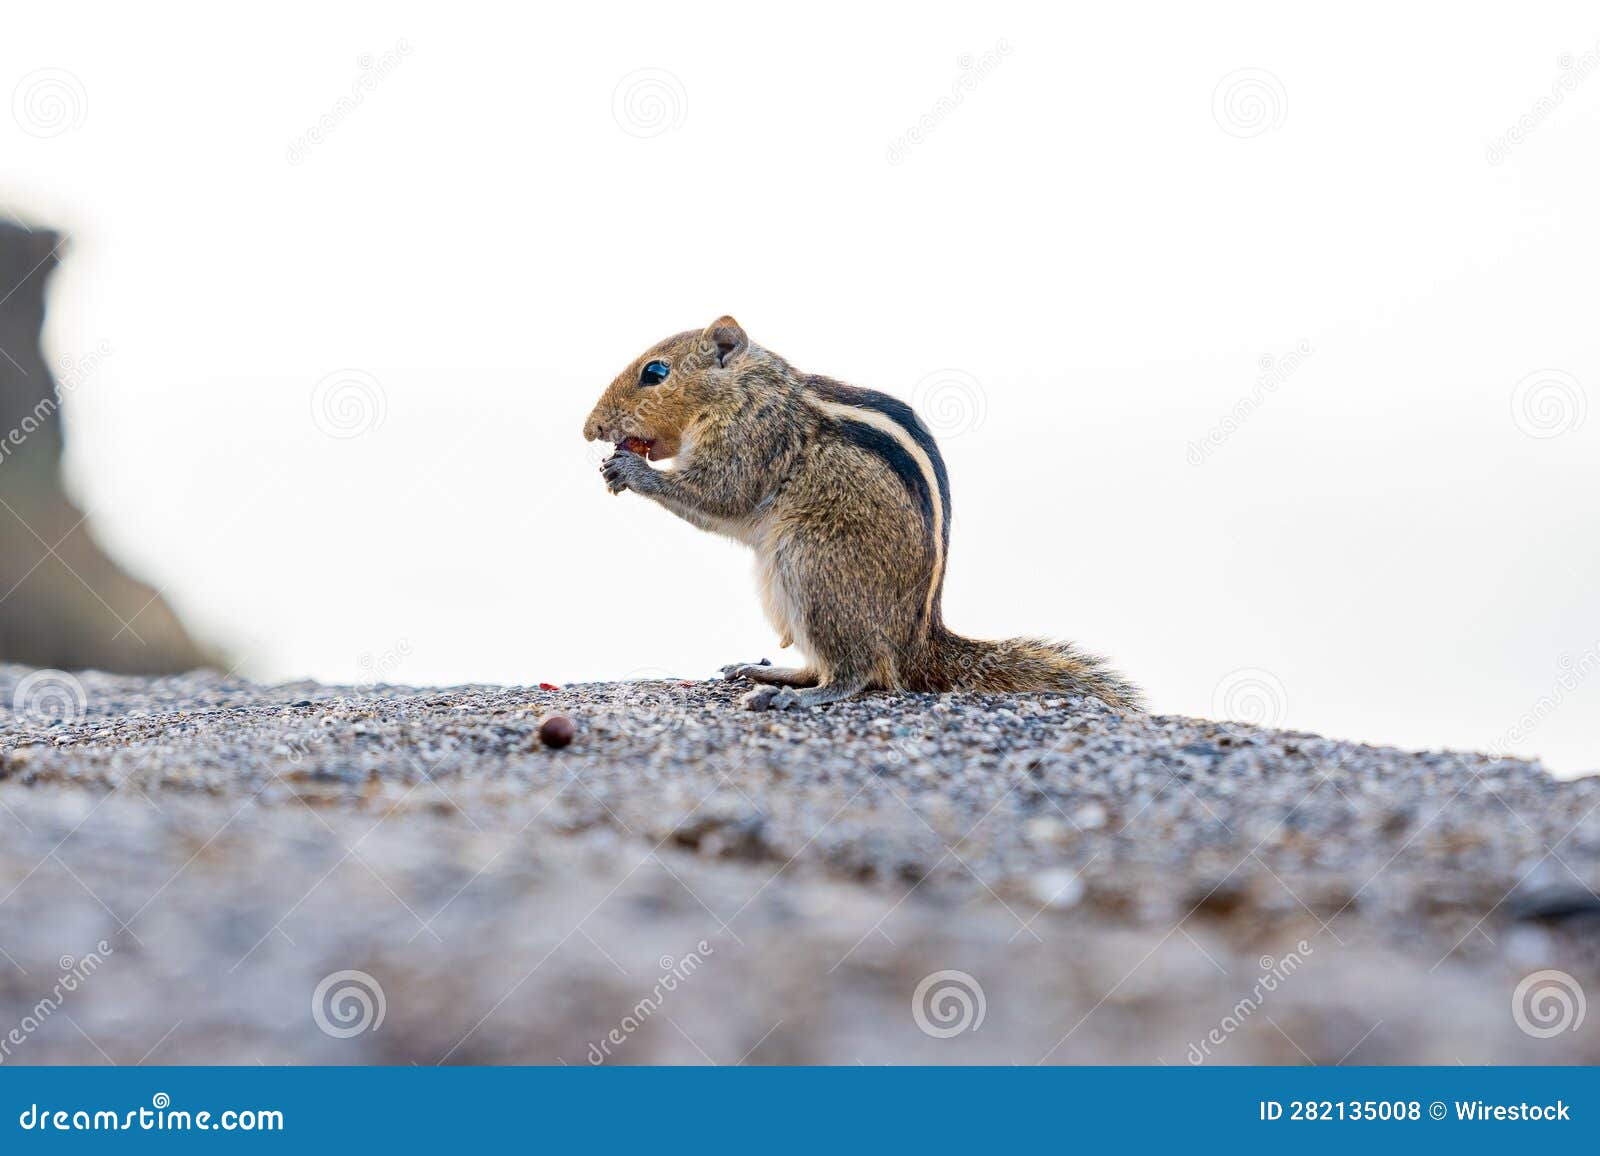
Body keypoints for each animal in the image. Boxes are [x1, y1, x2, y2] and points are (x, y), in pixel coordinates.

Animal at [582, 316, 1142, 713]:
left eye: (655, 373)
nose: (591, 430)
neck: (747, 388)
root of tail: (917, 646)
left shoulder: (754, 439)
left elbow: (723, 496)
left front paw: (631, 469)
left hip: (811, 566)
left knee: (859, 673)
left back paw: (794, 697)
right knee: (830, 665)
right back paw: (769, 673)